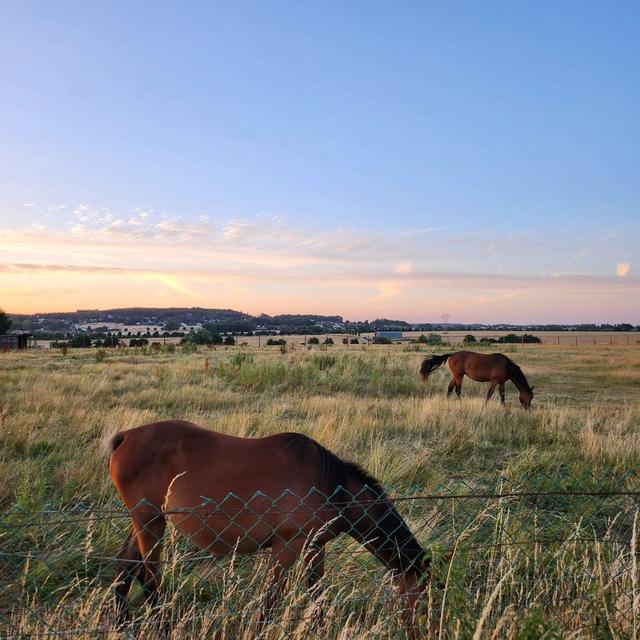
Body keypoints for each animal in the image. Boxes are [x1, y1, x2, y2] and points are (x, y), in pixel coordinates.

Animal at [110, 420, 432, 636]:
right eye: (425, 598)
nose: (422, 631)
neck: (331, 484)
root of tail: (126, 437)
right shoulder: (287, 547)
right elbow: (270, 600)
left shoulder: (314, 546)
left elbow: (316, 594)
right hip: (150, 522)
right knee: (150, 576)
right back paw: (162, 626)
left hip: (146, 521)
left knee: (126, 565)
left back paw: (122, 623)